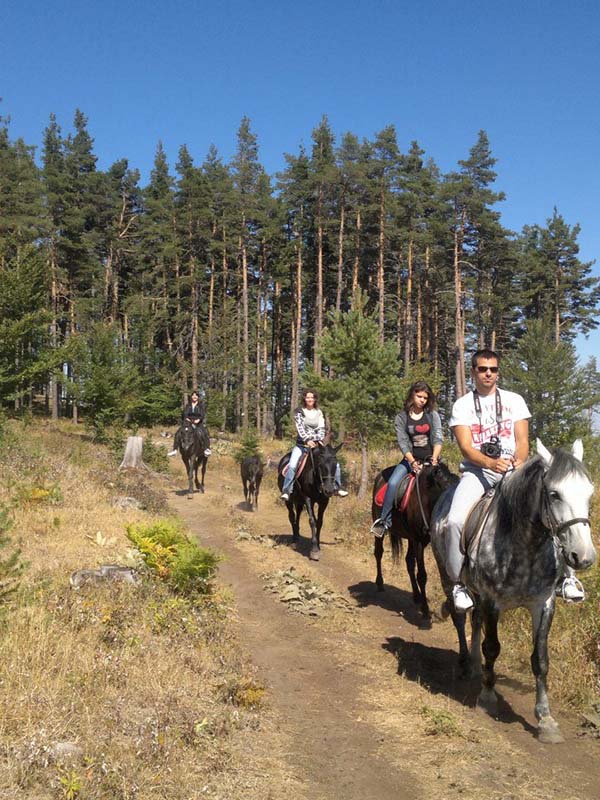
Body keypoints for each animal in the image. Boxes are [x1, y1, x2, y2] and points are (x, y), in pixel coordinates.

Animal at [370, 460, 454, 620]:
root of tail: (378, 477)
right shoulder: (419, 541)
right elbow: (422, 575)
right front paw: (426, 610)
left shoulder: (425, 541)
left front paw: (447, 606)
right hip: (381, 530)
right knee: (378, 553)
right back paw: (380, 583)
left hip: (410, 538)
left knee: (409, 561)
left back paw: (416, 596)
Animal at [432, 438, 596, 744]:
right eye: (554, 494)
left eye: (589, 493)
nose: (584, 557)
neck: (526, 546)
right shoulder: (492, 601)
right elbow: (493, 647)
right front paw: (487, 698)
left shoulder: (543, 604)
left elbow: (540, 660)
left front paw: (545, 720)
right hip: (447, 575)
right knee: (461, 618)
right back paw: (465, 663)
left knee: (475, 621)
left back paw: (475, 665)